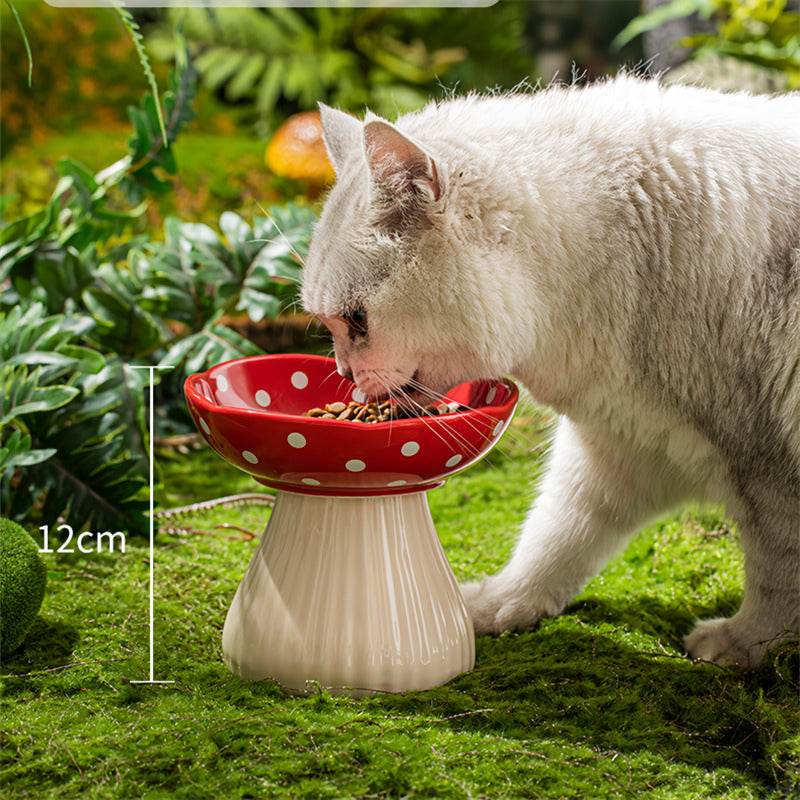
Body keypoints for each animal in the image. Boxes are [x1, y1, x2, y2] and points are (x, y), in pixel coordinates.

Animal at [302, 76, 800, 668]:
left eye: (356, 320)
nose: (344, 374)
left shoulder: (767, 467)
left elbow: (776, 579)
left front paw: (748, 645)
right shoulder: (616, 448)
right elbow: (556, 539)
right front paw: (498, 606)